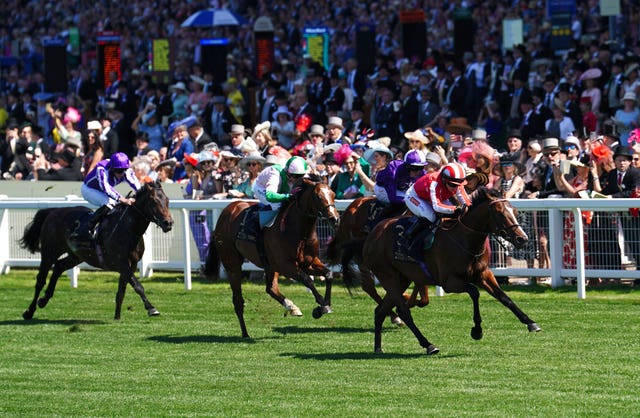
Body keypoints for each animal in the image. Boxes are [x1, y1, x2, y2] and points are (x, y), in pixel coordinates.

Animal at [20, 181, 175, 322]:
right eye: (154, 201)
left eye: (167, 200)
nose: (168, 223)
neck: (128, 229)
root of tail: (52, 212)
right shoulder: (121, 263)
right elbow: (138, 286)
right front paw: (151, 308)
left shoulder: (131, 264)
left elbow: (122, 290)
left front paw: (117, 317)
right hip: (49, 252)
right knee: (40, 280)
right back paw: (29, 311)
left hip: (76, 255)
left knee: (59, 267)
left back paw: (44, 300)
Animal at [204, 175, 342, 338]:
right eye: (317, 196)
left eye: (333, 194)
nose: (335, 219)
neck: (298, 230)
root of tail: (225, 213)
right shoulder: (285, 265)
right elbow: (307, 279)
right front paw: (322, 306)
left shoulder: (309, 262)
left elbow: (329, 274)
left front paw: (323, 306)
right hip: (232, 263)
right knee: (238, 300)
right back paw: (245, 333)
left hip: (269, 264)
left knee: (270, 288)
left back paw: (291, 307)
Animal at [360, 188, 540, 354]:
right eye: (500, 213)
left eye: (514, 211)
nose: (522, 239)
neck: (465, 239)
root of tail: (373, 234)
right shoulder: (449, 282)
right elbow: (474, 292)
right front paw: (477, 331)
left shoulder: (483, 274)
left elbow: (504, 297)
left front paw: (531, 322)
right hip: (387, 275)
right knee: (403, 311)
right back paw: (428, 345)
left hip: (402, 278)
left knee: (380, 311)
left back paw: (378, 348)